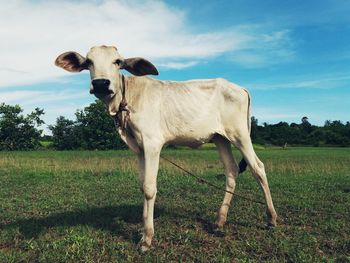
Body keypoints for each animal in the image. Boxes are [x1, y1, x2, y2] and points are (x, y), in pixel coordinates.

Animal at [55, 46, 278, 254]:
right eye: (89, 62)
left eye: (117, 61)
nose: (101, 83)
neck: (125, 103)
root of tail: (240, 87)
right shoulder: (139, 148)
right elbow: (142, 185)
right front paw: (142, 229)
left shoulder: (152, 143)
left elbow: (149, 188)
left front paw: (147, 239)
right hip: (220, 138)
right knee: (231, 170)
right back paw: (219, 222)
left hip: (240, 134)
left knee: (258, 168)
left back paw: (271, 218)